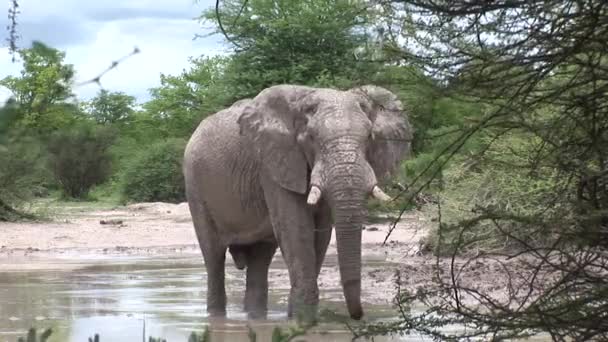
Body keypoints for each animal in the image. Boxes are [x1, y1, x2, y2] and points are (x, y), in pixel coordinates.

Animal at [183, 84, 414, 322]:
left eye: (369, 136)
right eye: (311, 137)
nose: (357, 316)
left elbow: (321, 233)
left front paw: (298, 318)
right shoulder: (274, 164)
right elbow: (296, 228)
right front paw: (302, 321)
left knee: (260, 259)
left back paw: (256, 318)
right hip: (195, 185)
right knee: (213, 256)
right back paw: (217, 317)